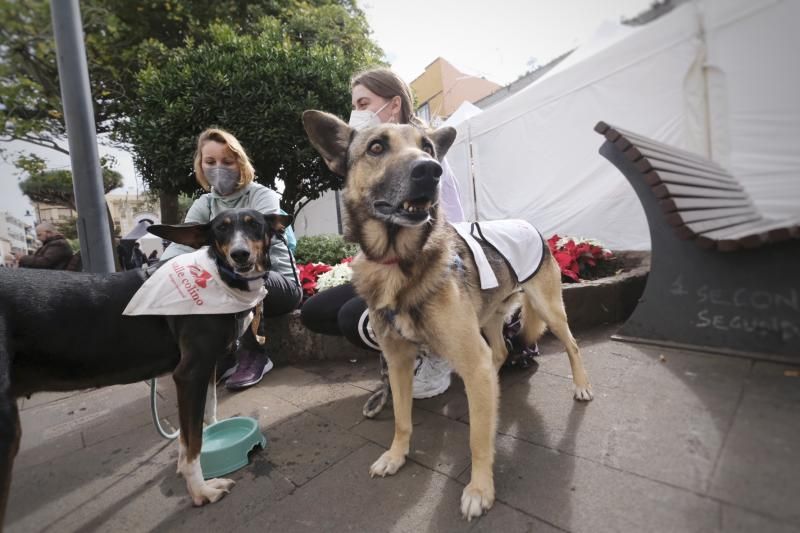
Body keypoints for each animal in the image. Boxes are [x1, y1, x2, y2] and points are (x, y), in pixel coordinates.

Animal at [304, 109, 592, 520]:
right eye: (376, 147)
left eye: (427, 147)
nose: (430, 170)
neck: (399, 262)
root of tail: (531, 226)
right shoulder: (398, 361)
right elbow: (402, 419)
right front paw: (396, 456)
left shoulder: (468, 358)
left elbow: (477, 438)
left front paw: (480, 489)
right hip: (488, 317)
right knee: (499, 352)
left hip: (548, 308)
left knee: (571, 345)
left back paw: (580, 386)